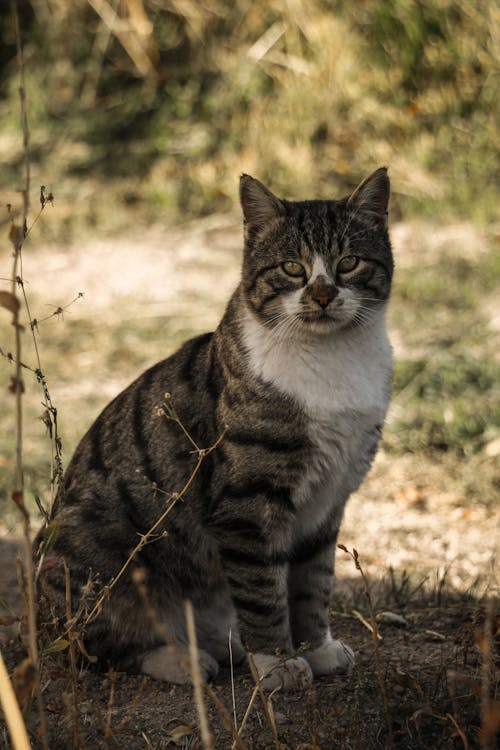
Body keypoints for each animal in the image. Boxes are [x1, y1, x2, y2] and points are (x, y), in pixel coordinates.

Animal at [35, 167, 394, 692]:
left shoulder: (328, 500)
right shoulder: (247, 504)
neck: (331, 360)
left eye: (348, 262)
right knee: (98, 645)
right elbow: (263, 592)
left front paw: (316, 649)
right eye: (292, 268)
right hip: (101, 557)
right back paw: (184, 660)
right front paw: (278, 664)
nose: (323, 293)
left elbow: (313, 585)